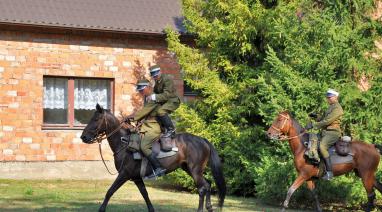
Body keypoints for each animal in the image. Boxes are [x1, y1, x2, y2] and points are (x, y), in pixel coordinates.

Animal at [79, 104, 225, 212]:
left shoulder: (124, 175)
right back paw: (209, 207)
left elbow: (109, 192)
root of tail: (203, 140)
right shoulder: (137, 178)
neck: (124, 143)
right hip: (189, 169)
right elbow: (145, 195)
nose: (83, 137)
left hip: (195, 170)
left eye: (96, 119)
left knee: (202, 188)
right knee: (208, 184)